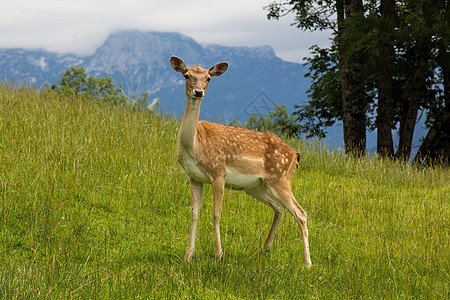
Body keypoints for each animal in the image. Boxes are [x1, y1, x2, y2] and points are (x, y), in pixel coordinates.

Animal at [171, 56, 312, 270]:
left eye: (208, 78)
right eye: (186, 75)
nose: (198, 91)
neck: (195, 145)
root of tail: (295, 155)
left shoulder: (218, 173)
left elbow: (216, 214)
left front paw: (219, 255)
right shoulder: (194, 177)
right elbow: (194, 214)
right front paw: (188, 256)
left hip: (280, 178)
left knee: (301, 213)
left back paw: (307, 264)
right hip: (256, 187)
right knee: (279, 208)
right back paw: (265, 248)